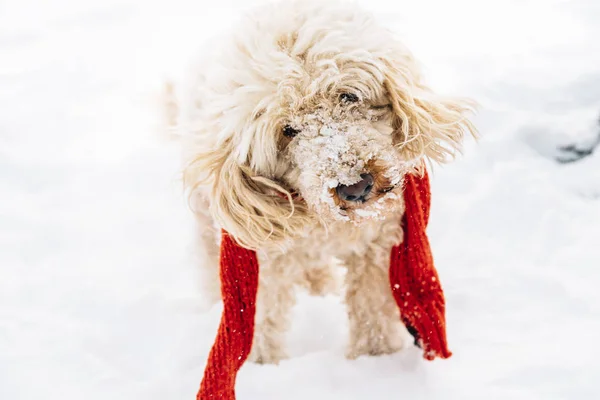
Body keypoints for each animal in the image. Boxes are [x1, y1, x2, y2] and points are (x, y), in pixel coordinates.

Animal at [171, 0, 476, 362]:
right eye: (288, 130)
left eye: (348, 96)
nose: (355, 186)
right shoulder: (264, 260)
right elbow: (260, 317)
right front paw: (264, 365)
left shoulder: (377, 244)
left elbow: (371, 309)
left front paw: (375, 357)